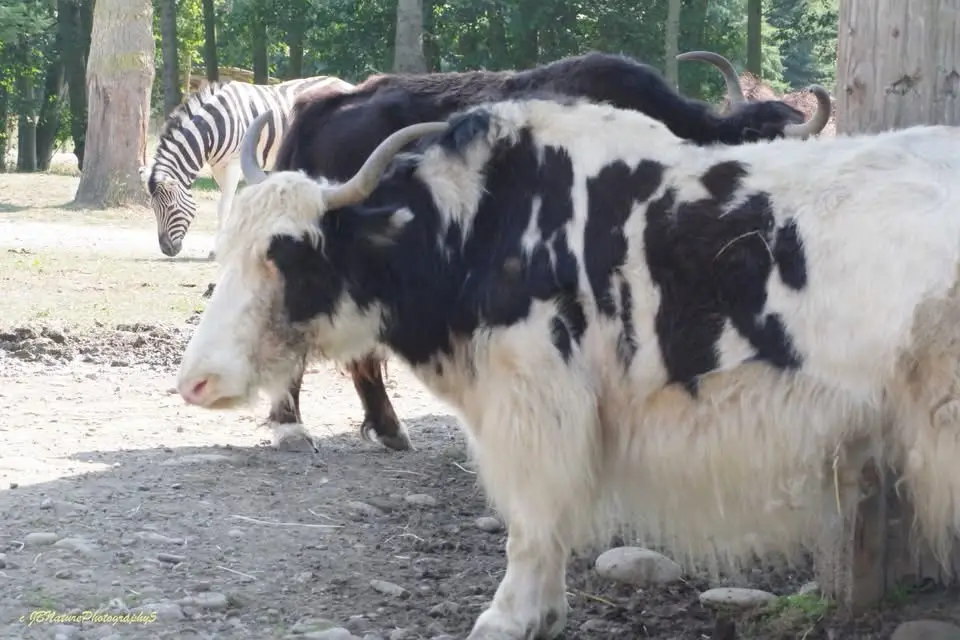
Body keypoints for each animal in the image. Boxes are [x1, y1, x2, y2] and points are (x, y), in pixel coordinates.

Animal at [139, 75, 354, 258]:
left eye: (171, 207)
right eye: (153, 208)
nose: (167, 250)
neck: (214, 128)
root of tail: (344, 83)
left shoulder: (234, 163)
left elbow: (224, 206)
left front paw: (216, 251)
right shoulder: (218, 166)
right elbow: (226, 204)